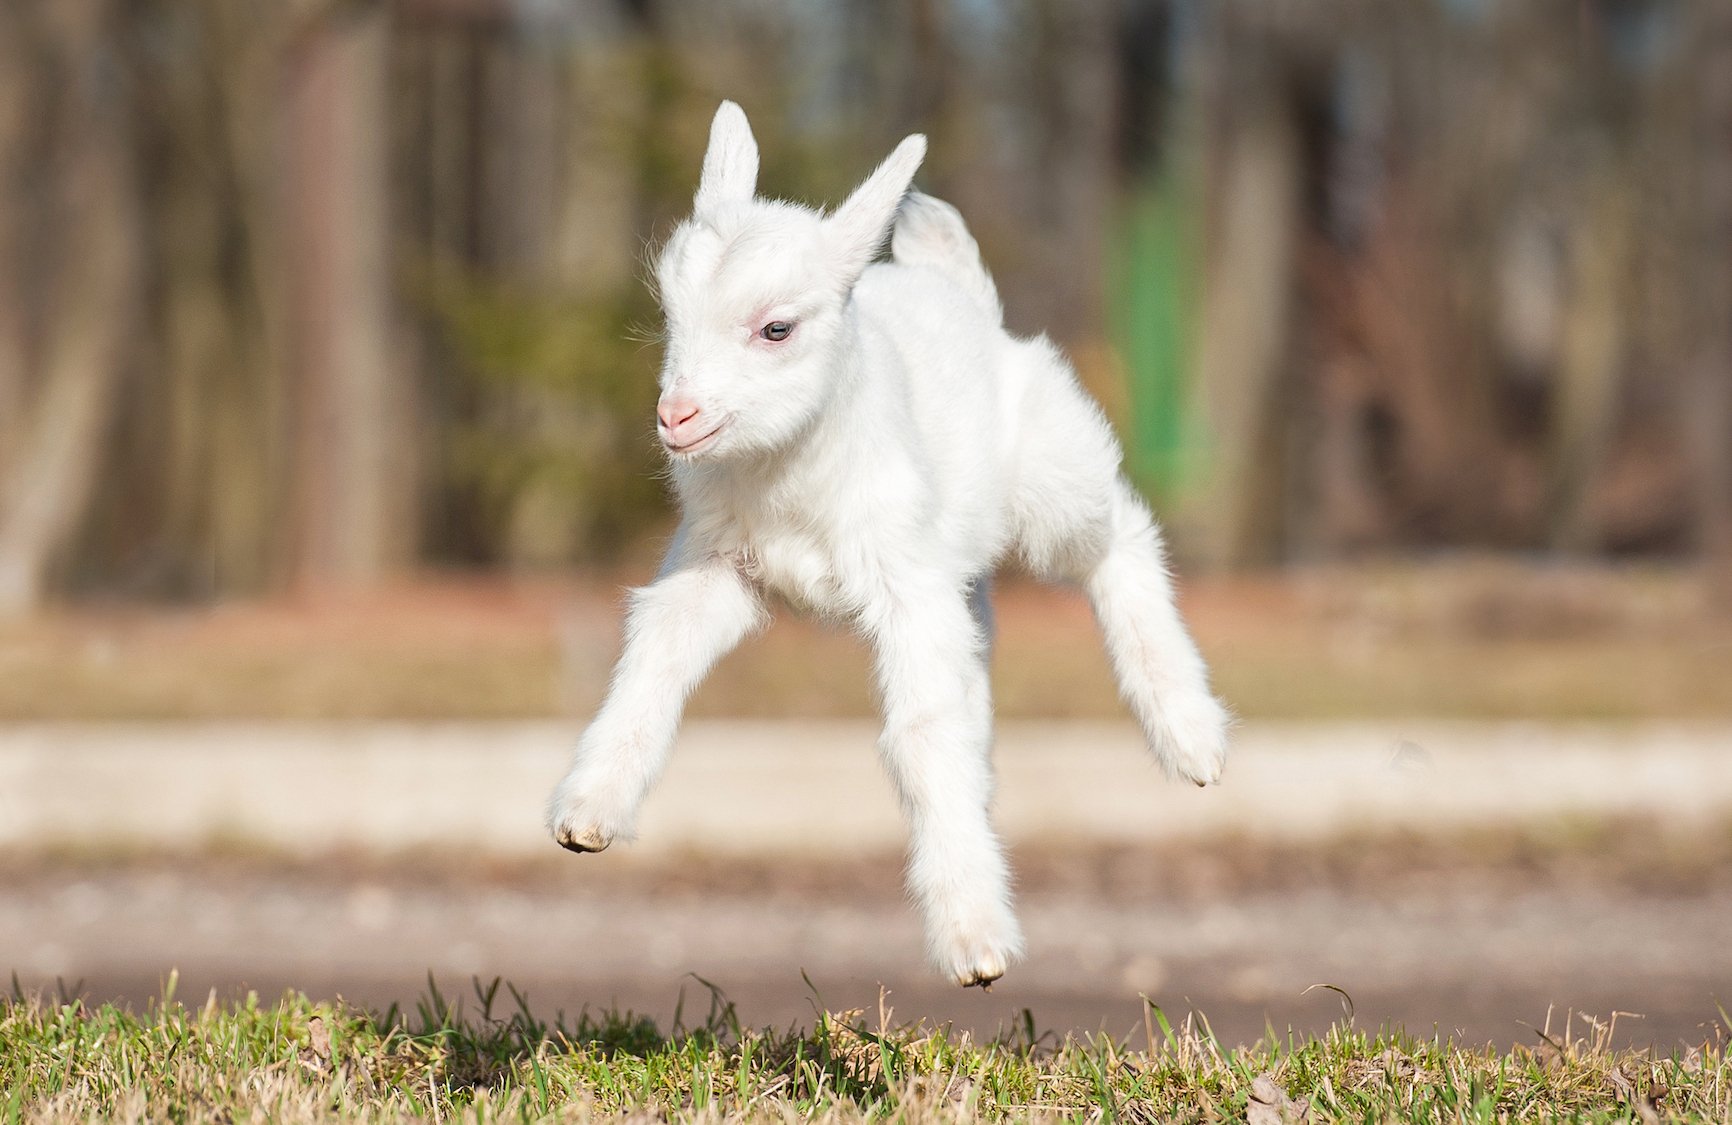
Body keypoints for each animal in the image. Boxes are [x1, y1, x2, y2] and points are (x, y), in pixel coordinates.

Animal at [547, 100, 1226, 983]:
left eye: (776, 327)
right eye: (670, 315)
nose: (676, 416)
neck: (789, 477)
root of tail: (963, 293)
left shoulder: (903, 588)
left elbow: (919, 734)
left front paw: (975, 944)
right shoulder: (713, 568)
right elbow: (652, 663)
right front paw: (588, 810)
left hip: (1054, 482)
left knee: (1121, 537)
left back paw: (1190, 735)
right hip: (958, 569)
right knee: (979, 652)